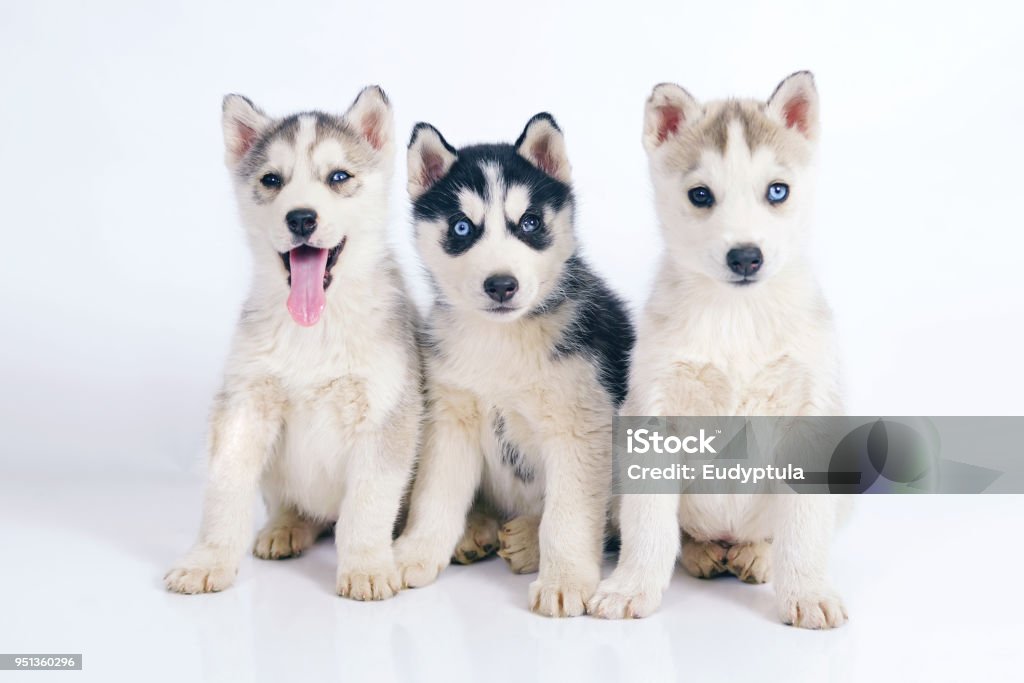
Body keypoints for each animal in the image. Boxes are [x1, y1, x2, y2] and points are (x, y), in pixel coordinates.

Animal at [163, 88, 419, 602]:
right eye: (271, 180)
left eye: (338, 176)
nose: (301, 218)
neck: (314, 328)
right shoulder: (243, 405)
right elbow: (223, 491)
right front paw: (208, 560)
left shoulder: (386, 411)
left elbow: (367, 505)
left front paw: (366, 566)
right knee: (297, 507)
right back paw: (287, 526)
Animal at [391, 114, 630, 618]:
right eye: (462, 227)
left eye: (530, 222)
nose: (501, 285)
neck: (501, 341)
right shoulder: (450, 418)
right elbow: (433, 494)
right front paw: (413, 553)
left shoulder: (580, 426)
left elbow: (567, 515)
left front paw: (564, 579)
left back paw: (525, 540)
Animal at [589, 74, 851, 630]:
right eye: (700, 194)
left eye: (778, 190)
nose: (745, 256)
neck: (738, 314)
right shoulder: (654, 415)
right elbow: (650, 526)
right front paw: (632, 586)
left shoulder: (809, 415)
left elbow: (802, 526)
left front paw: (807, 590)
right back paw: (704, 551)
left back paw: (756, 554)